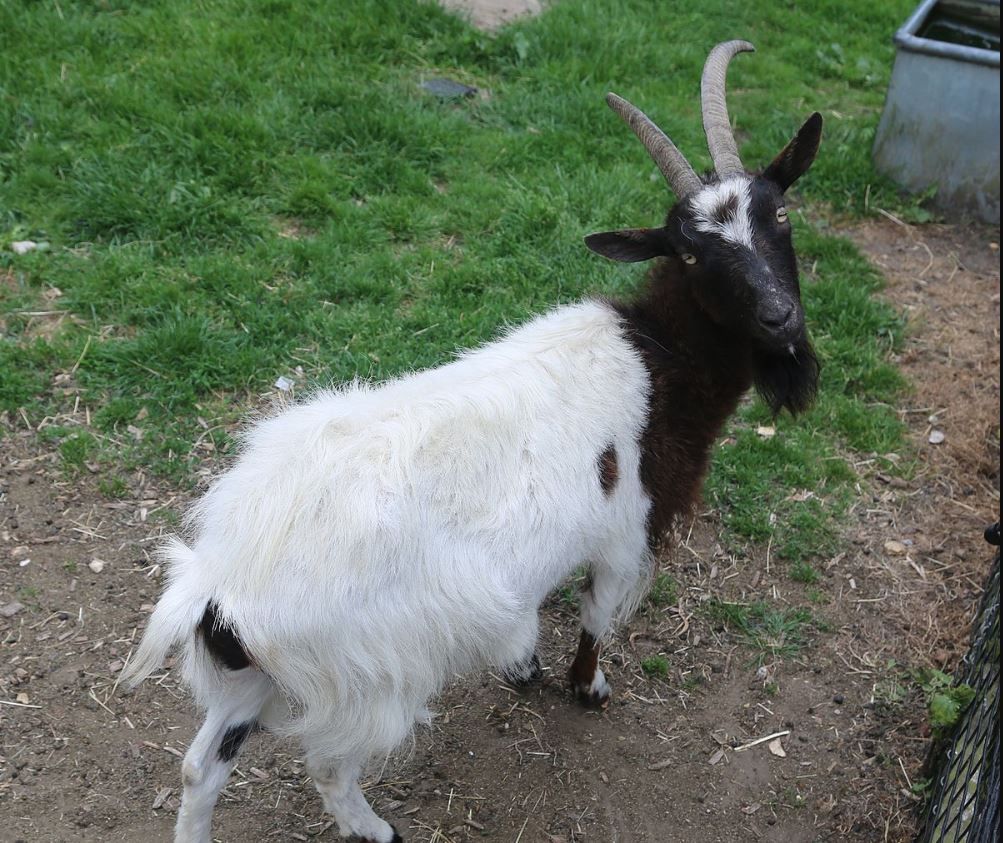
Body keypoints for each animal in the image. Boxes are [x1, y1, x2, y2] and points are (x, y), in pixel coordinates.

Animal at [124, 40, 823, 843]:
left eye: (780, 212)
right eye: (688, 251)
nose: (778, 317)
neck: (657, 360)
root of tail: (220, 580)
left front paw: (522, 665)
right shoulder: (623, 535)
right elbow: (596, 618)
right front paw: (587, 687)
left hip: (252, 677)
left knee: (200, 768)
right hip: (367, 679)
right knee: (327, 766)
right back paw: (380, 828)